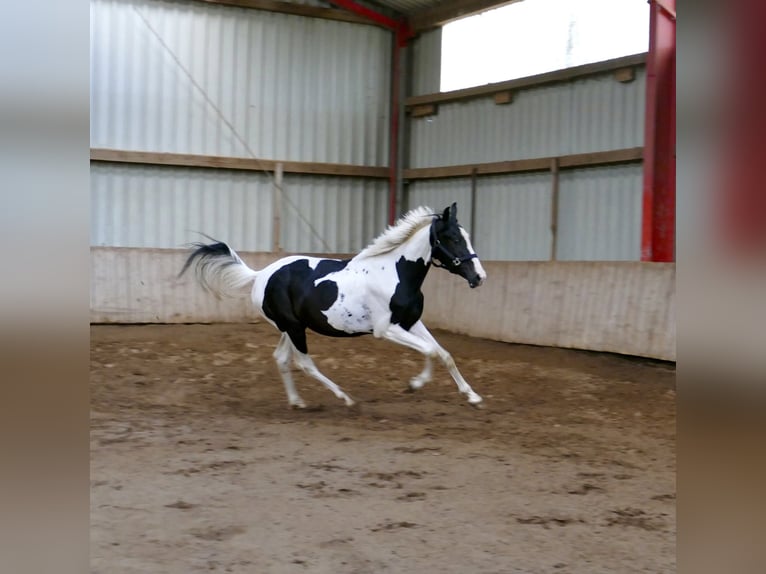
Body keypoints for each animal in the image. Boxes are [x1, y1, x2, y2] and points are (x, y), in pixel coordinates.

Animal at [179, 202, 487, 408]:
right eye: (453, 238)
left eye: (467, 237)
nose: (479, 277)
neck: (394, 272)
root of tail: (261, 275)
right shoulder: (385, 329)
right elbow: (430, 351)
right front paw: (415, 384)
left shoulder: (411, 322)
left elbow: (443, 353)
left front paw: (472, 396)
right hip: (294, 328)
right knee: (304, 363)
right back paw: (345, 397)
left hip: (291, 327)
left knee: (281, 358)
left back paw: (297, 401)